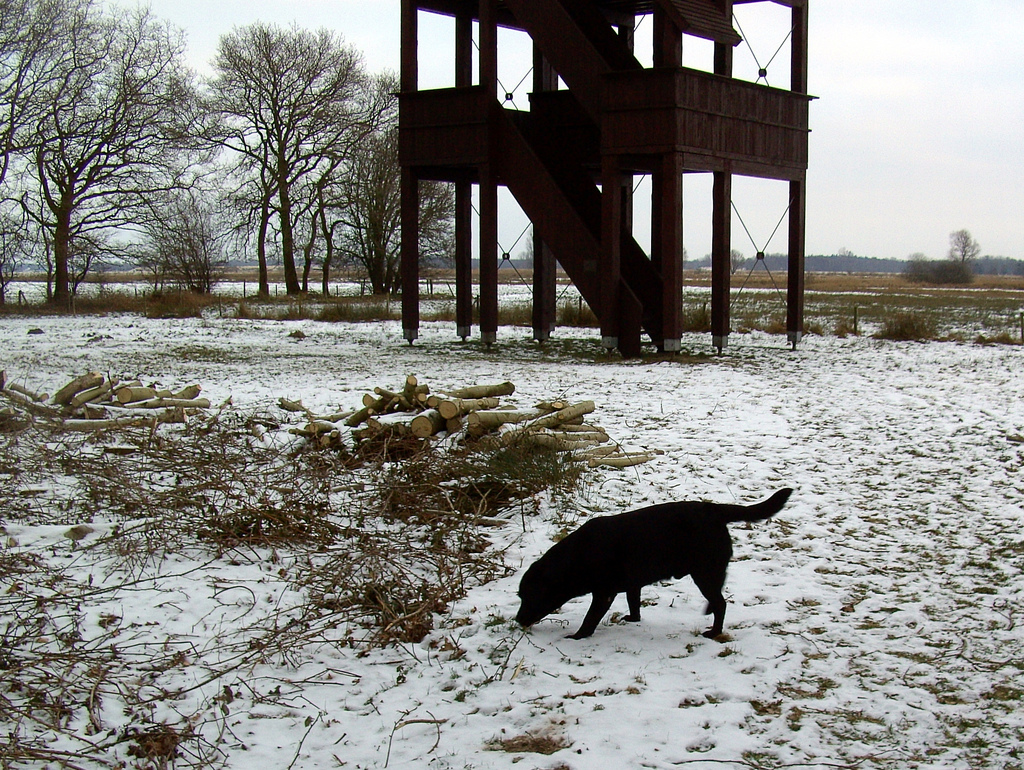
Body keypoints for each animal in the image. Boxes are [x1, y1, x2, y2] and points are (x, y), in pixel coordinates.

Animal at [512, 489, 790, 638]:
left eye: (530, 596)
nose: (517, 619)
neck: (577, 557)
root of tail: (715, 509)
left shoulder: (603, 593)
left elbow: (590, 619)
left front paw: (577, 636)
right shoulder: (632, 584)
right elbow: (633, 602)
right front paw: (633, 619)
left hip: (705, 572)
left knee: (721, 603)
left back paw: (713, 631)